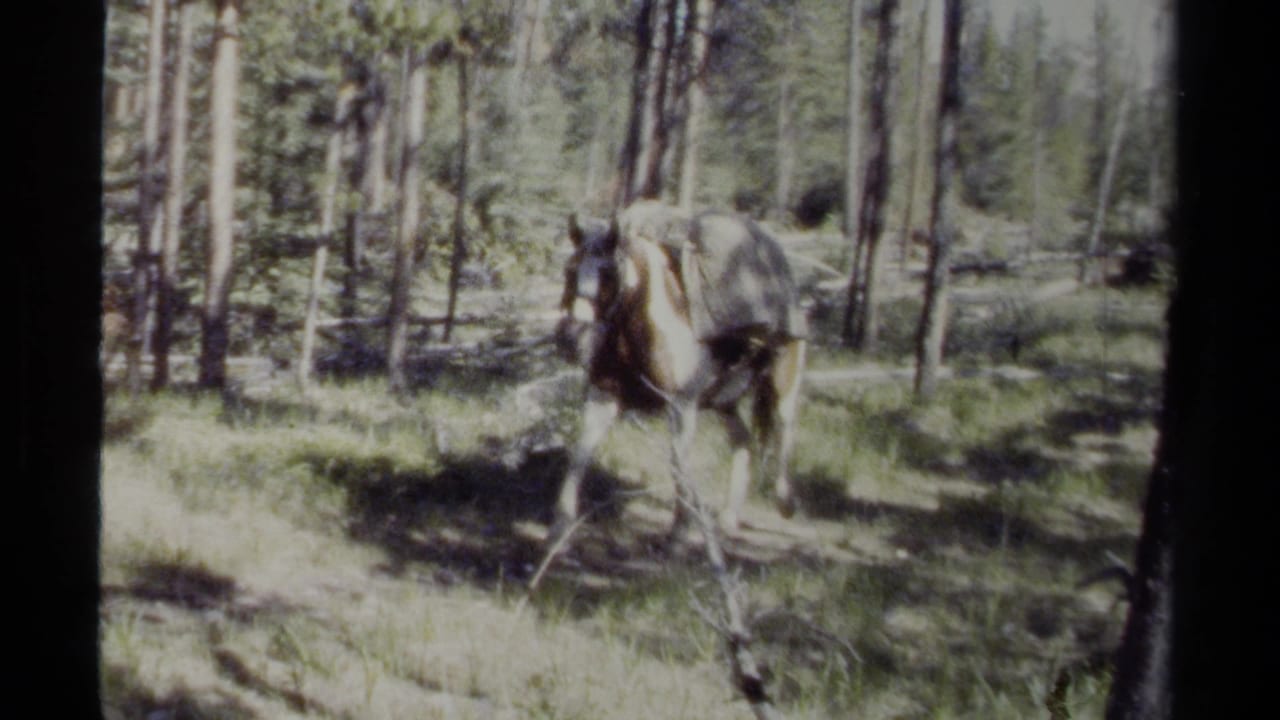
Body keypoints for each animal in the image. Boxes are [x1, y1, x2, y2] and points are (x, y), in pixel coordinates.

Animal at [552, 201, 807, 542]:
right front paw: (561, 525)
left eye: (609, 274)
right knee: (743, 442)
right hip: (723, 401)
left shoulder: (681, 405)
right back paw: (729, 517)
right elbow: (580, 452)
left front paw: (680, 531)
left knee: (785, 430)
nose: (571, 338)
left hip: (783, 386)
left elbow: (678, 463)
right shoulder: (603, 396)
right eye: (570, 270)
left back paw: (785, 503)